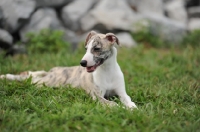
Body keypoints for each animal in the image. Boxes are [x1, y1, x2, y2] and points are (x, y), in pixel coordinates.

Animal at [0, 31, 138, 109]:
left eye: (96, 48)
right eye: (86, 49)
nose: (82, 63)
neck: (106, 71)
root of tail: (52, 71)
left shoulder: (121, 92)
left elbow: (128, 99)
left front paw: (132, 107)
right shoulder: (97, 95)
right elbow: (112, 104)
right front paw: (121, 109)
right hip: (45, 82)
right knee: (28, 79)